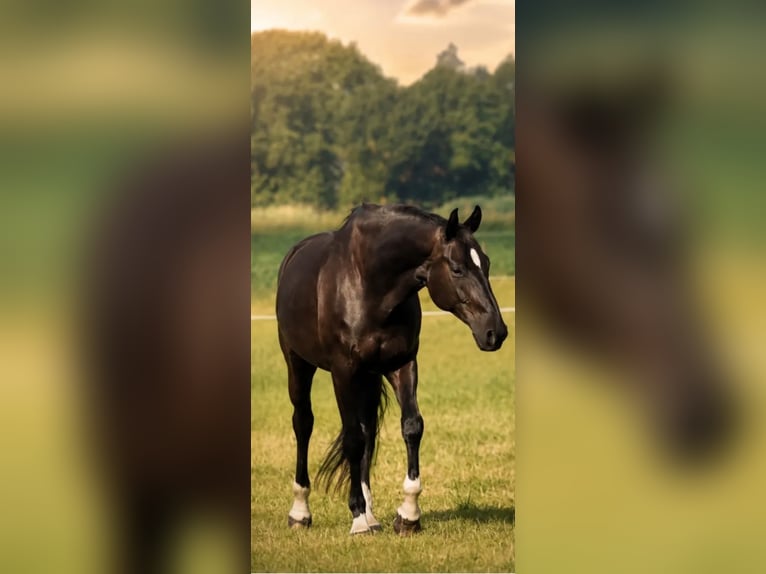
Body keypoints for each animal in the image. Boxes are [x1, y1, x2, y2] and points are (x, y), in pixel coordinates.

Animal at [276, 203, 508, 535]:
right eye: (457, 268)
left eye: (486, 264)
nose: (495, 332)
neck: (368, 284)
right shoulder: (343, 371)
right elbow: (351, 439)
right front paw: (358, 518)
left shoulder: (402, 364)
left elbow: (411, 427)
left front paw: (408, 514)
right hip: (298, 362)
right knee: (303, 423)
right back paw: (301, 512)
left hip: (368, 378)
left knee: (367, 430)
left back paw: (371, 512)